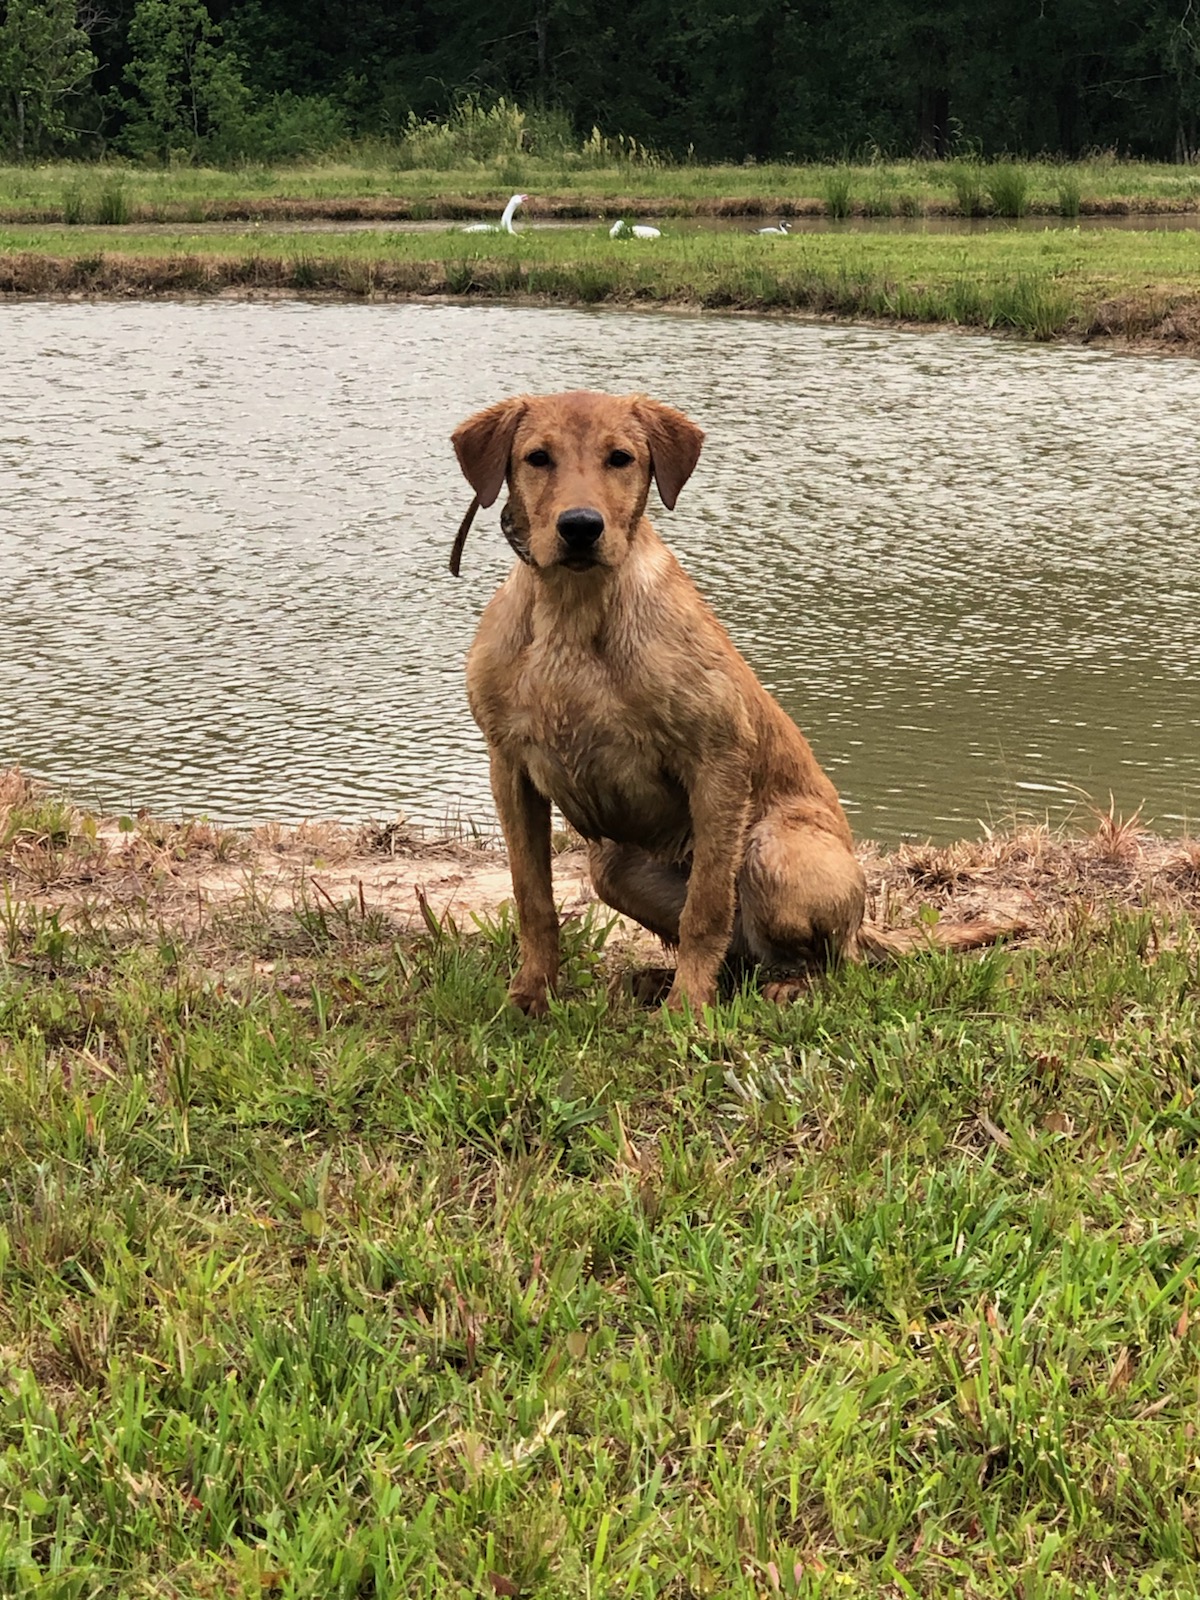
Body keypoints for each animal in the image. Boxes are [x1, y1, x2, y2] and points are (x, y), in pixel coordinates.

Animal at [454, 390, 1011, 1011]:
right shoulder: (509, 768)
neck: (573, 615)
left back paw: (782, 985)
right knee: (743, 957)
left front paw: (687, 1011)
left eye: (620, 458)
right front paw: (532, 993)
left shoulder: (718, 759)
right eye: (537, 458)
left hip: (774, 847)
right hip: (612, 863)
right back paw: (661, 978)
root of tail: (865, 923)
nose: (580, 527)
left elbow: (707, 908)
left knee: (829, 960)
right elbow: (533, 897)